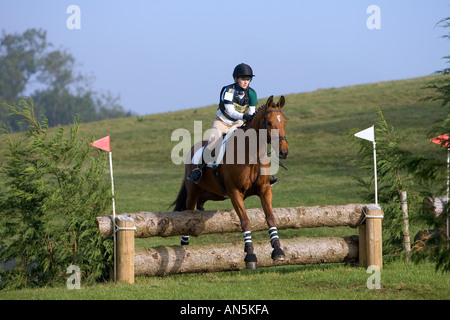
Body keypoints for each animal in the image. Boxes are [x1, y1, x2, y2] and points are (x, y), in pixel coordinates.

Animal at [171, 95, 290, 270]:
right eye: (269, 123)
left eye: (284, 122)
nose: (283, 152)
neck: (251, 153)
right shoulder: (235, 192)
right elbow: (245, 221)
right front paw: (250, 255)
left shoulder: (265, 189)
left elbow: (270, 218)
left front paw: (278, 251)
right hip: (192, 192)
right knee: (188, 212)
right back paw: (184, 245)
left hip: (211, 194)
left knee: (200, 204)